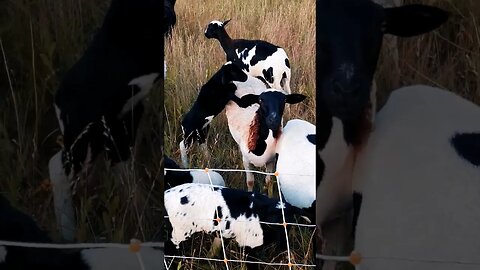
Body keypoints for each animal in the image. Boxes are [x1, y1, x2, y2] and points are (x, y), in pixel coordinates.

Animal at [49, 0, 162, 242]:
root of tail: (60, 97)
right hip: (88, 136)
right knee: (59, 167)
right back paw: (68, 233)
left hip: (116, 126)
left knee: (120, 165)